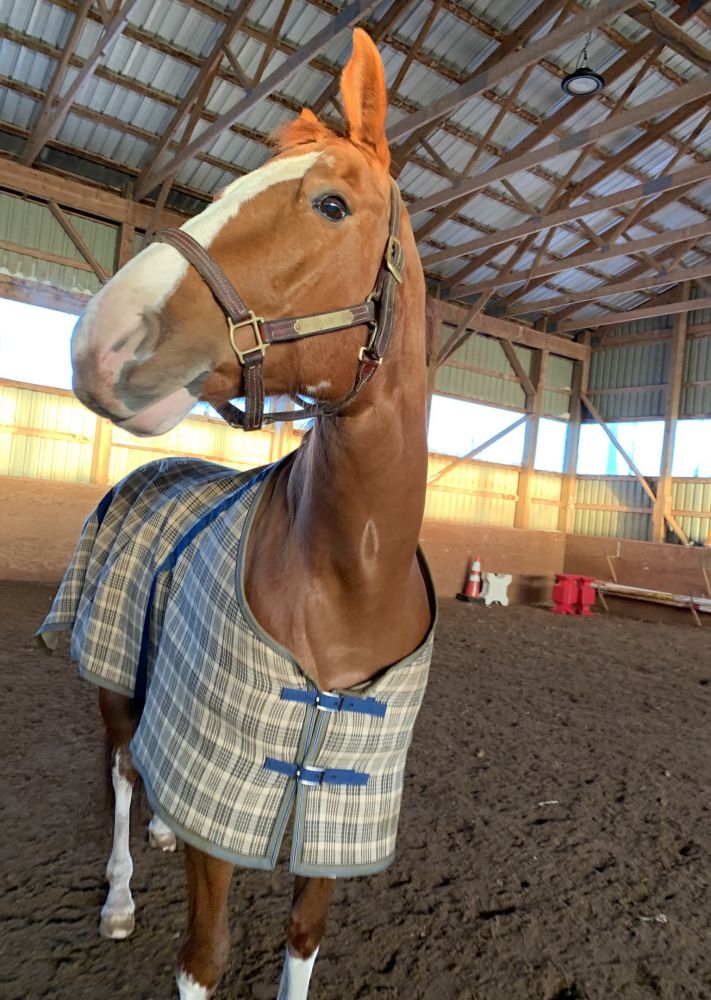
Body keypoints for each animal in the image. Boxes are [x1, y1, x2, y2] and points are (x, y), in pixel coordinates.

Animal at [38, 29, 435, 1000]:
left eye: (330, 204)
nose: (100, 342)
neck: (345, 583)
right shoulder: (226, 803)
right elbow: (204, 960)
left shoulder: (335, 806)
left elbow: (300, 940)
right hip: (109, 680)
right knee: (120, 770)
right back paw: (118, 896)